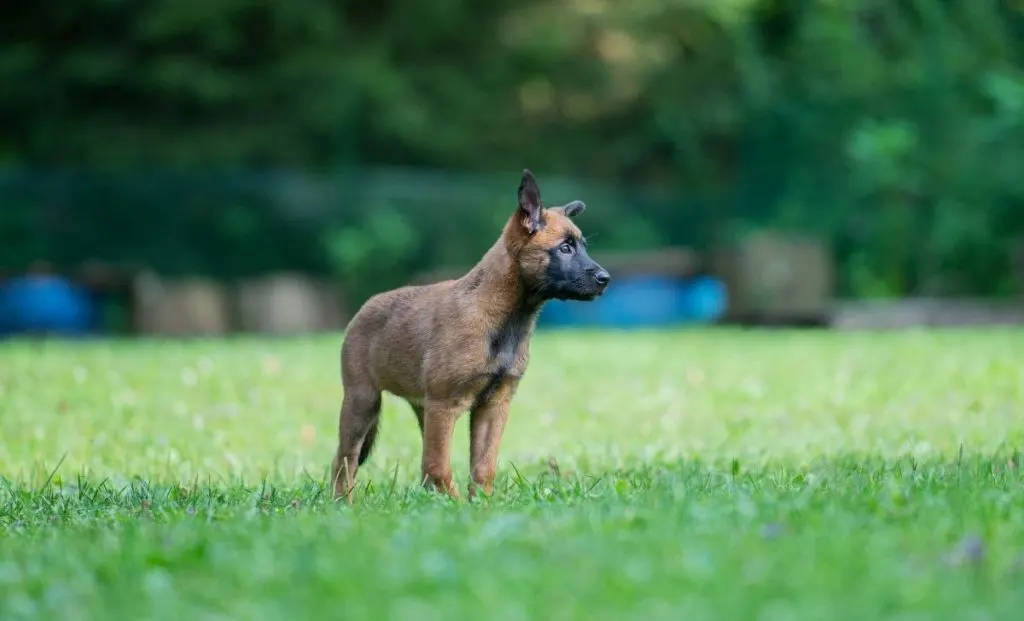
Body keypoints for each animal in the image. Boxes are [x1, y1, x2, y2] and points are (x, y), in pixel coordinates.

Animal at [331, 168, 610, 504]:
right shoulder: (446, 404)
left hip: (421, 408)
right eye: (565, 248)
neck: (504, 319)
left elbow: (482, 466)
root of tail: (365, 307)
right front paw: (455, 507)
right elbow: (440, 466)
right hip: (363, 401)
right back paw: (342, 503)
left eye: (582, 246)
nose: (605, 279)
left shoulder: (494, 406)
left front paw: (480, 505)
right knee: (344, 459)